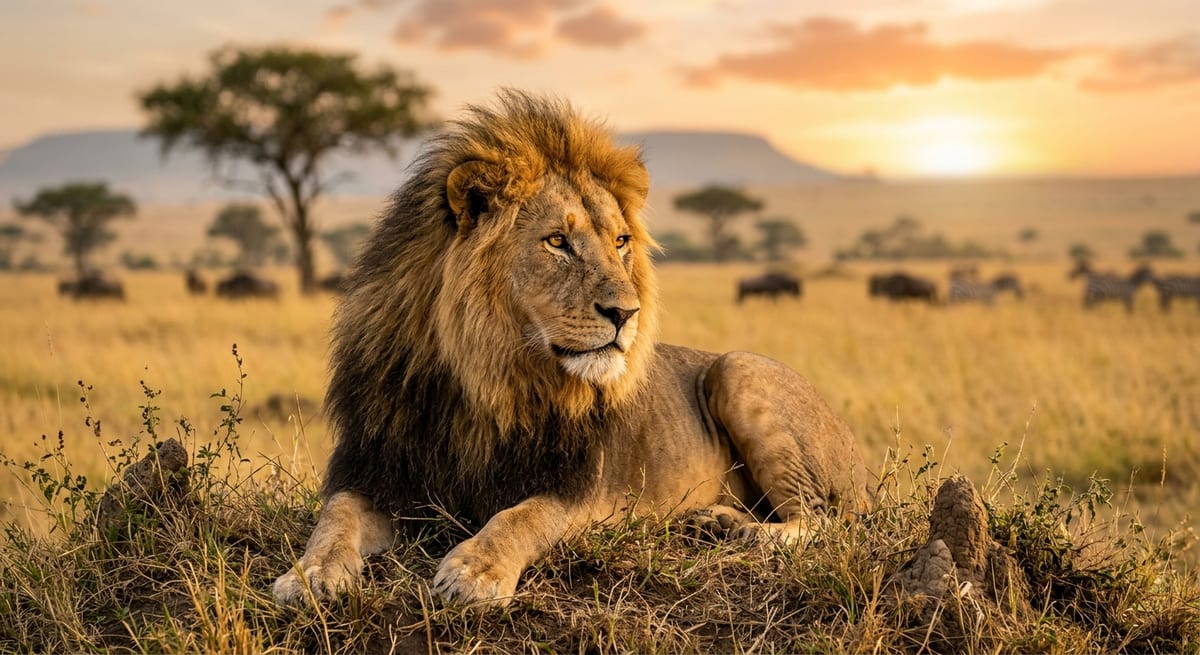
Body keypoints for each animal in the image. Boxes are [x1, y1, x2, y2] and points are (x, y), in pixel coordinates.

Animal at [273, 90, 871, 608]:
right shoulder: (372, 469)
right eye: (557, 242)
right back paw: (716, 521)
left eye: (621, 242)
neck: (486, 379)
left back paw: (746, 534)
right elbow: (335, 520)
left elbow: (520, 518)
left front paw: (474, 572)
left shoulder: (582, 490)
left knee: (827, 520)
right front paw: (310, 575)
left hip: (738, 369)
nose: (626, 313)